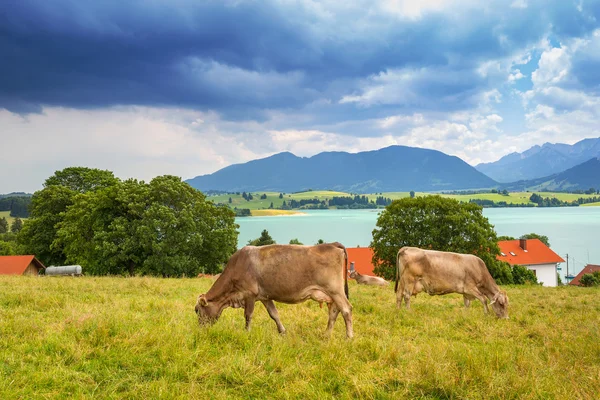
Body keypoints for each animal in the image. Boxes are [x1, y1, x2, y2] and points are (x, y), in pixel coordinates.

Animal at [195, 242, 352, 340]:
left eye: (197, 310)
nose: (201, 330)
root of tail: (332, 244)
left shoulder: (249, 294)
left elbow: (248, 315)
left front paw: (247, 332)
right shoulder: (265, 296)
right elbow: (274, 314)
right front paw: (282, 332)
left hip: (335, 290)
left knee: (346, 310)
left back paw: (349, 337)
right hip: (331, 294)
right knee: (334, 312)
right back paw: (326, 335)